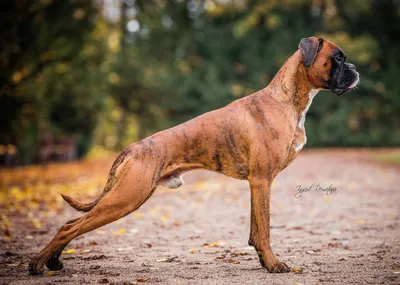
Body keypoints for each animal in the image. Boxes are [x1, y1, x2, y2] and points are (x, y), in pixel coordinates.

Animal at [28, 36, 360, 274]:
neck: (287, 99)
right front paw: (274, 265)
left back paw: (53, 262)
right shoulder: (261, 181)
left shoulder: (257, 184)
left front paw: (264, 261)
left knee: (74, 223)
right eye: (337, 58)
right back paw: (37, 265)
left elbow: (256, 229)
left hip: (124, 197)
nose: (356, 70)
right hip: (126, 198)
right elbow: (265, 228)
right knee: (71, 226)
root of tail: (132, 148)